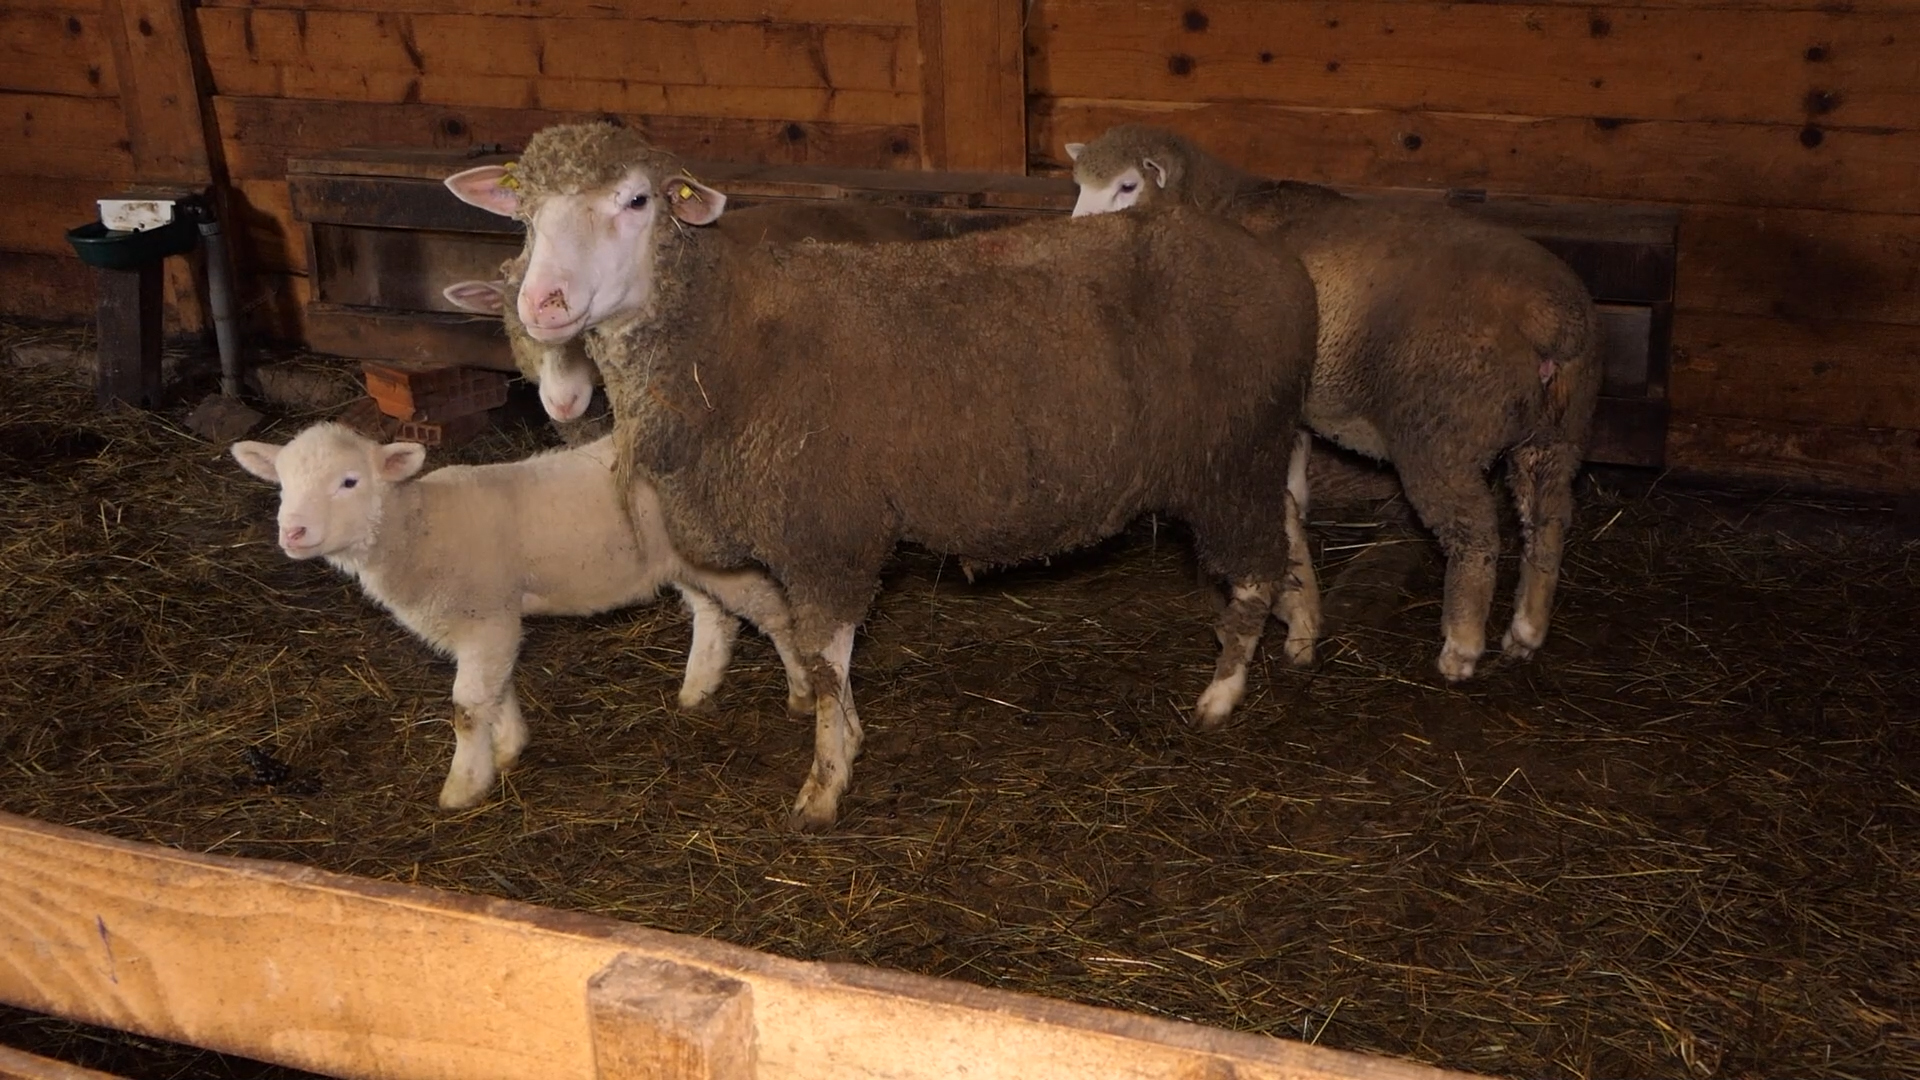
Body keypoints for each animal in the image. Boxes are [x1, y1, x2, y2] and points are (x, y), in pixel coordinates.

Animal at [230, 420, 810, 807]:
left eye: (349, 482)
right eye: (282, 483)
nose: (293, 532)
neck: (419, 527)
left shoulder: (485, 616)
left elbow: (467, 708)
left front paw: (464, 786)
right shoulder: (489, 619)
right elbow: (495, 690)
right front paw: (508, 749)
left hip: (717, 555)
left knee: (772, 611)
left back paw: (802, 692)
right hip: (685, 559)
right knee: (714, 614)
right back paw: (697, 687)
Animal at [443, 122, 1328, 822]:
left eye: (636, 202)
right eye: (523, 212)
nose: (545, 304)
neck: (727, 334)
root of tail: (1284, 267)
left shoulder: (826, 532)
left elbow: (825, 663)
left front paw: (825, 784)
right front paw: (844, 743)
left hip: (1227, 460)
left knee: (1252, 570)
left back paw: (1220, 694)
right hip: (1256, 446)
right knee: (1289, 526)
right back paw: (1304, 630)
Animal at [1067, 123, 1605, 680]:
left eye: (1128, 186)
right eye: (1079, 184)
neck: (1214, 207)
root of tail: (1550, 319)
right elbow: (1295, 481)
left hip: (1443, 434)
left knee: (1475, 534)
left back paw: (1461, 648)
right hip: (1558, 432)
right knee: (1547, 521)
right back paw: (1526, 630)